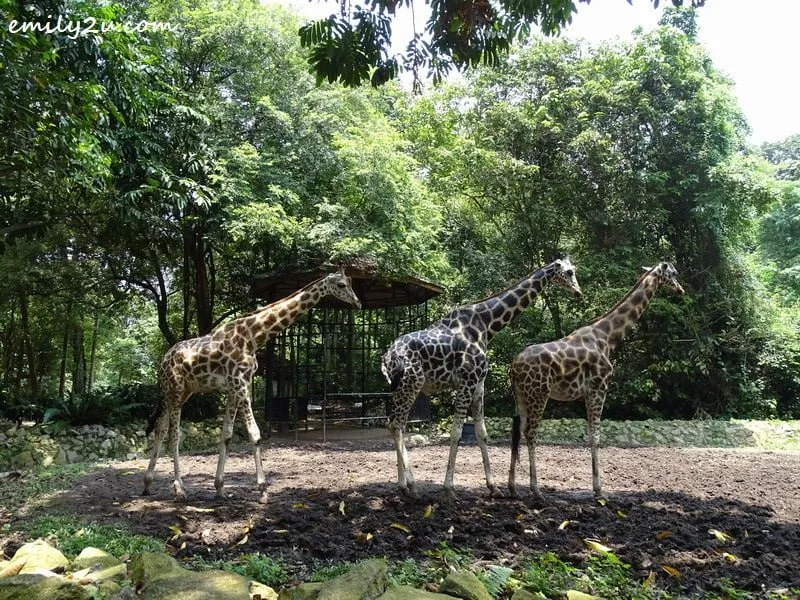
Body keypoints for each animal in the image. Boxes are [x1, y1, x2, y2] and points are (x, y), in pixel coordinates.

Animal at [142, 268, 361, 501]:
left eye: (351, 282)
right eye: (341, 285)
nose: (357, 303)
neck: (253, 337)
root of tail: (163, 361)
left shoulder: (234, 387)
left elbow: (226, 435)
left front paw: (220, 488)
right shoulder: (240, 383)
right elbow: (254, 433)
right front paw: (263, 490)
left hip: (182, 392)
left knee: (160, 428)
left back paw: (148, 484)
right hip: (175, 389)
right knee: (174, 435)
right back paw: (180, 489)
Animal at [382, 258, 582, 498]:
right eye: (569, 272)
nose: (578, 292)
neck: (487, 325)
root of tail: (388, 357)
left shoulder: (478, 383)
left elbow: (481, 433)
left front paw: (493, 487)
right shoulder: (466, 382)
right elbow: (456, 432)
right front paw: (449, 488)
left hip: (399, 388)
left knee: (396, 424)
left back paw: (402, 484)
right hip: (411, 384)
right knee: (396, 424)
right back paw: (412, 485)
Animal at [508, 262, 684, 501]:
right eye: (673, 274)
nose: (681, 290)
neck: (608, 337)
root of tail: (514, 366)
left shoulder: (588, 391)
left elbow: (591, 435)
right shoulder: (599, 387)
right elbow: (596, 436)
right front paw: (599, 491)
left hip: (521, 396)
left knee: (517, 432)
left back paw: (513, 488)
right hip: (539, 393)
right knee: (531, 433)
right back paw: (537, 491)